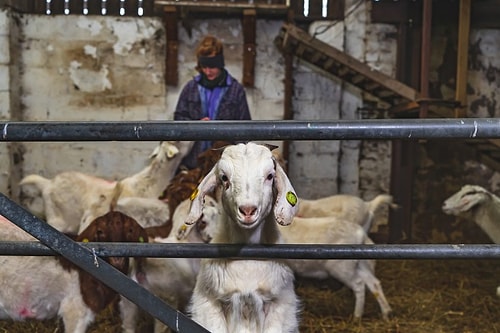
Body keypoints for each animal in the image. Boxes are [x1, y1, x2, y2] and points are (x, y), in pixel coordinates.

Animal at [120, 195, 220, 332]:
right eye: (203, 222)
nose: (212, 237)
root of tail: (141, 261)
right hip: (163, 301)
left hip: (128, 301)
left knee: (128, 326)